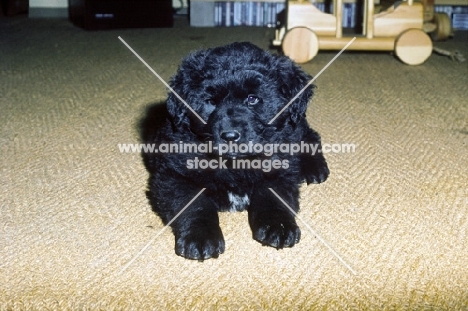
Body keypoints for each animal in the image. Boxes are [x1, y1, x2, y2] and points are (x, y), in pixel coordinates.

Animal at [143, 42, 330, 260]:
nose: (230, 136)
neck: (235, 164)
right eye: (211, 101)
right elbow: (196, 205)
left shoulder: (279, 168)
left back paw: (315, 168)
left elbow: (272, 197)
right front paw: (200, 237)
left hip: (296, 124)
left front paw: (278, 226)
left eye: (252, 99)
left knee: (309, 135)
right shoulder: (174, 175)